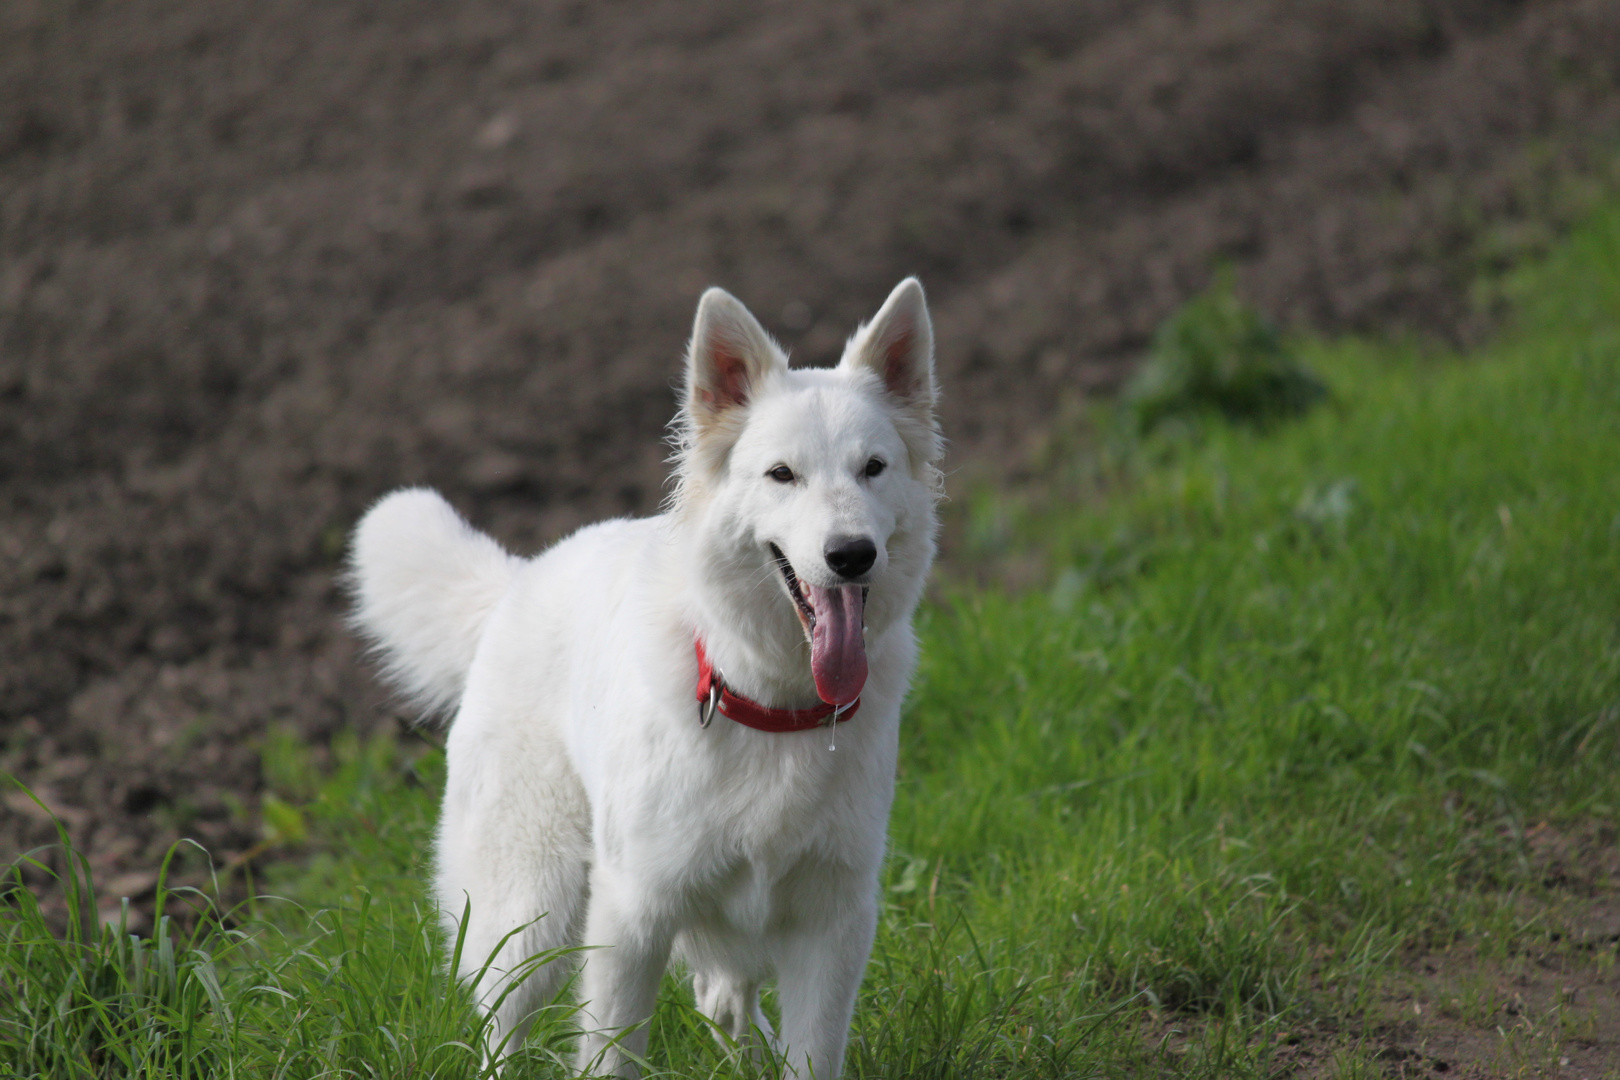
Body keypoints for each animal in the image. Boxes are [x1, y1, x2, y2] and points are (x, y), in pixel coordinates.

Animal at [348, 276, 946, 1075]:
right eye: (782, 475)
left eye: (873, 468)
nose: (851, 555)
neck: (771, 703)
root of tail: (519, 578)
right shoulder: (631, 917)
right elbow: (609, 1054)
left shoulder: (834, 925)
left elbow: (810, 1055)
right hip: (527, 918)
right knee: (500, 1031)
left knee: (723, 998)